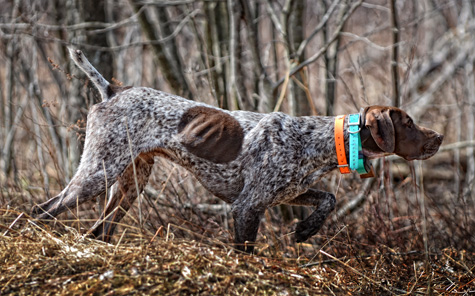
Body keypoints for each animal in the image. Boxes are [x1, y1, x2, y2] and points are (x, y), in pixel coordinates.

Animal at [31, 48, 444, 252]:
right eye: (408, 123)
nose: (439, 137)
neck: (317, 141)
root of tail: (113, 90)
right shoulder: (247, 206)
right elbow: (245, 249)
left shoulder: (284, 192)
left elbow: (328, 199)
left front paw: (306, 229)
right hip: (99, 172)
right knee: (43, 210)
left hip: (130, 181)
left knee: (99, 230)